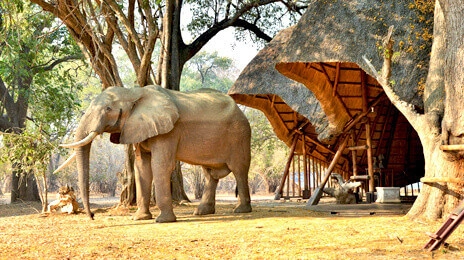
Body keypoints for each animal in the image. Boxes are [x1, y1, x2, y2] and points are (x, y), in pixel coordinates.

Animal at [59, 85, 252, 221]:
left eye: (107, 109)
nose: (92, 216)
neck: (134, 92)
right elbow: (142, 168)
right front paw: (139, 218)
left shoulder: (168, 130)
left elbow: (160, 166)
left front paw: (163, 220)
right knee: (209, 173)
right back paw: (201, 212)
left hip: (240, 134)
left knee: (239, 170)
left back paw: (241, 210)